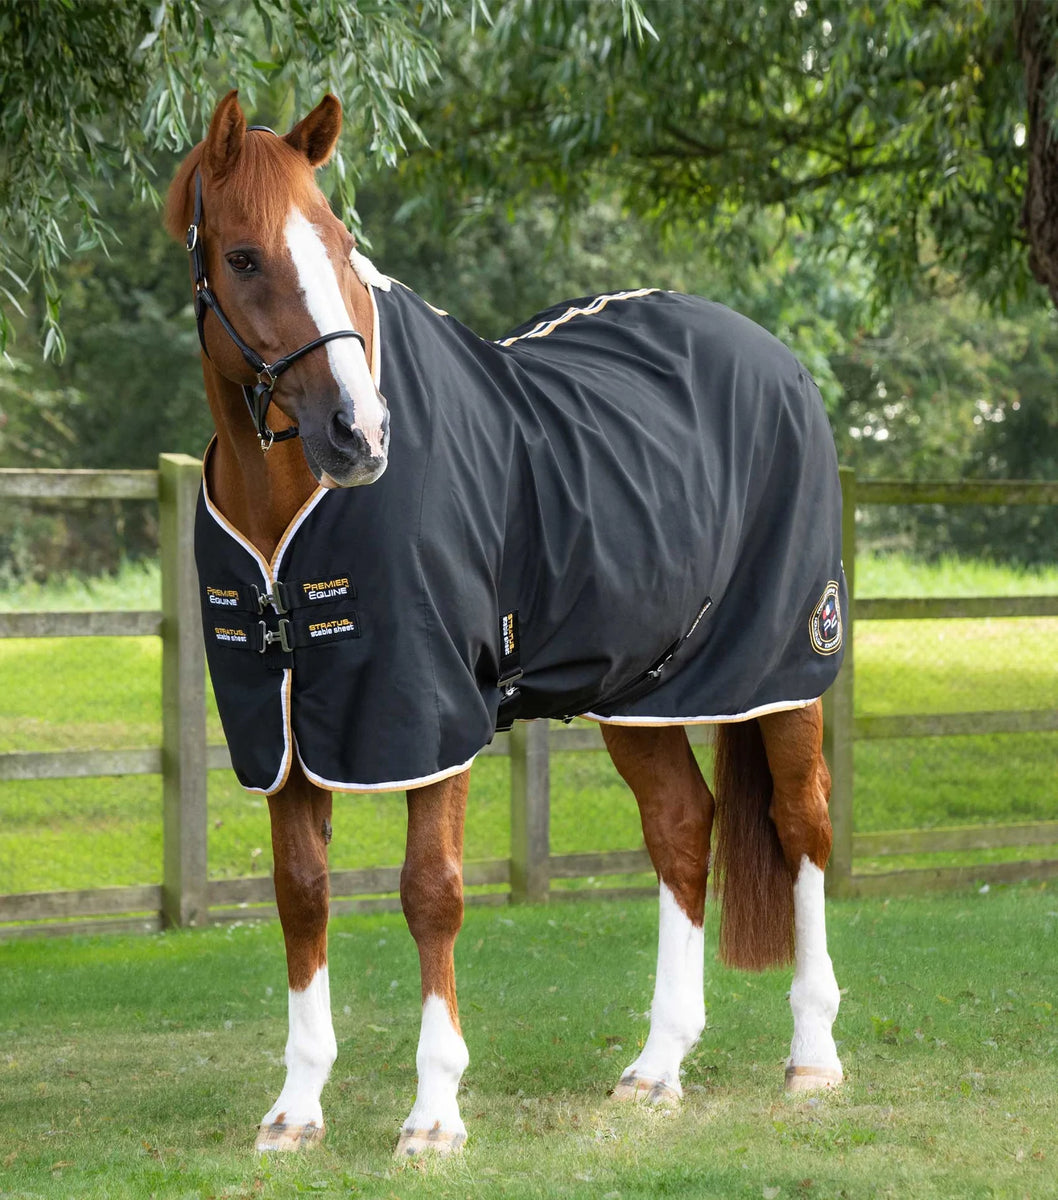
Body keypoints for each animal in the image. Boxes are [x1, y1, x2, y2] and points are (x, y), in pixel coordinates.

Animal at [165, 91, 845, 1156]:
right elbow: (301, 892)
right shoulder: (280, 730)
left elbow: (430, 892)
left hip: (784, 670)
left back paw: (814, 1057)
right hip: (640, 689)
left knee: (801, 823)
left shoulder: (428, 712)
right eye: (241, 257)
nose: (361, 433)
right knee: (681, 828)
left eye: (340, 242)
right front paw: (296, 1110)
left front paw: (434, 1114)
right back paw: (658, 1066)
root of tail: (777, 359)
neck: (288, 517)